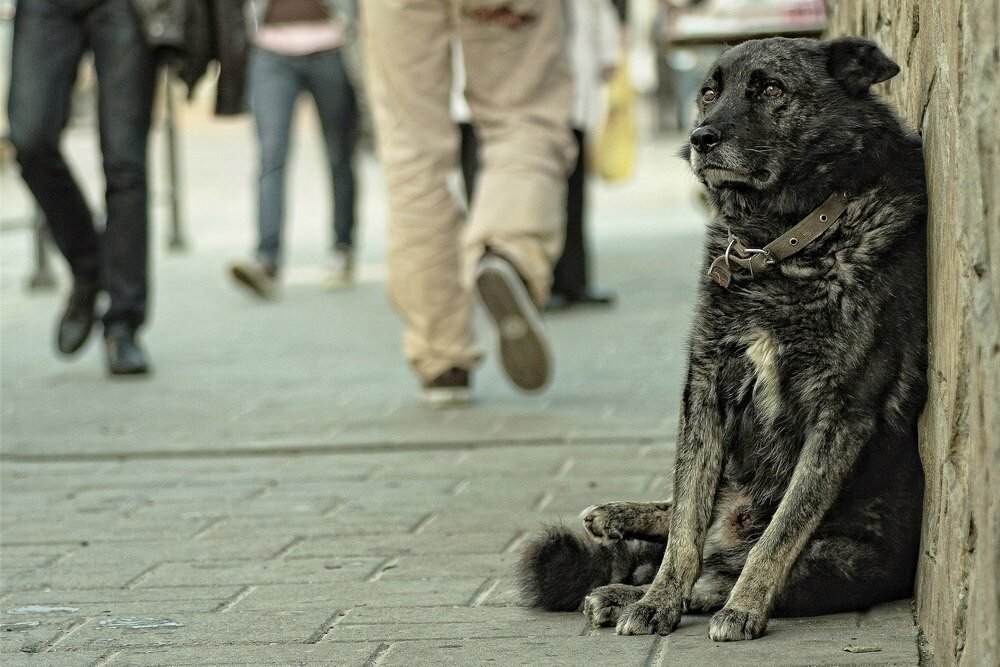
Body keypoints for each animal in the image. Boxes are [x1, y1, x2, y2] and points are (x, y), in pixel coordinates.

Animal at [516, 36, 928, 640]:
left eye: (772, 89)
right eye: (709, 92)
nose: (700, 138)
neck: (781, 241)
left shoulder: (842, 412)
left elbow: (782, 530)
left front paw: (745, 605)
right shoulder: (706, 385)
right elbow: (686, 518)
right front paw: (658, 600)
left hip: (841, 558)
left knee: (719, 571)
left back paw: (638, 586)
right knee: (690, 518)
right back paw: (618, 534)